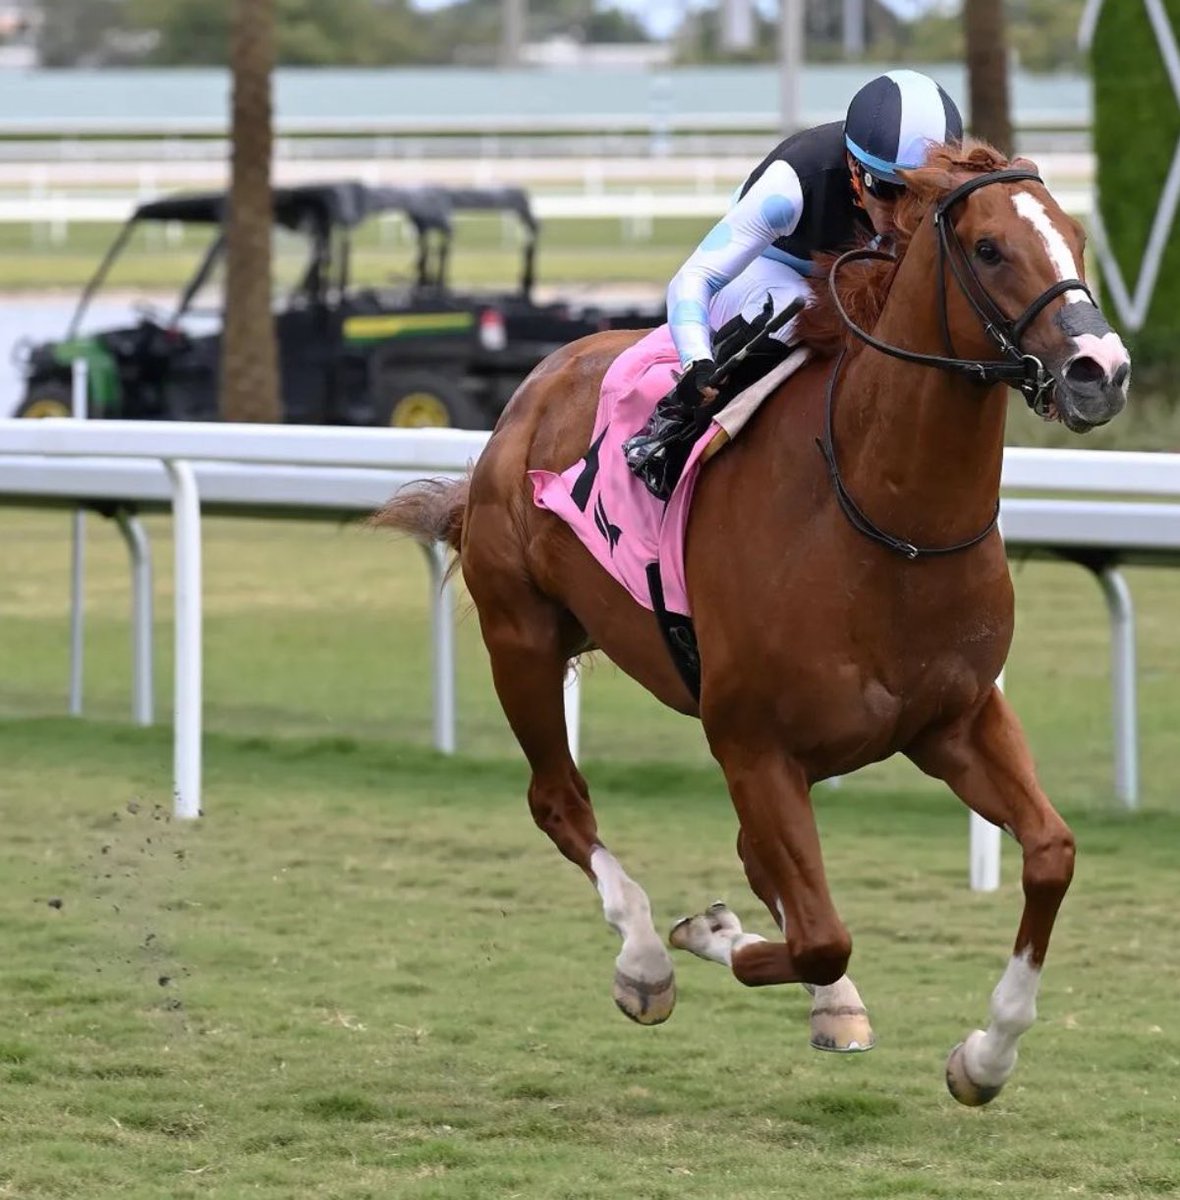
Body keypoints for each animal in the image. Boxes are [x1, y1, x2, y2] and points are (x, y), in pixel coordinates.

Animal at [384, 142, 1128, 1104]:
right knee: (560, 801)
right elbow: (821, 935)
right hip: (523, 638)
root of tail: (531, 391)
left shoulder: (955, 720)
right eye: (991, 248)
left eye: (1074, 233)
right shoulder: (750, 742)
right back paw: (645, 958)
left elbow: (1051, 854)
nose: (1100, 369)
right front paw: (704, 937)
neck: (885, 518)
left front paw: (985, 1056)